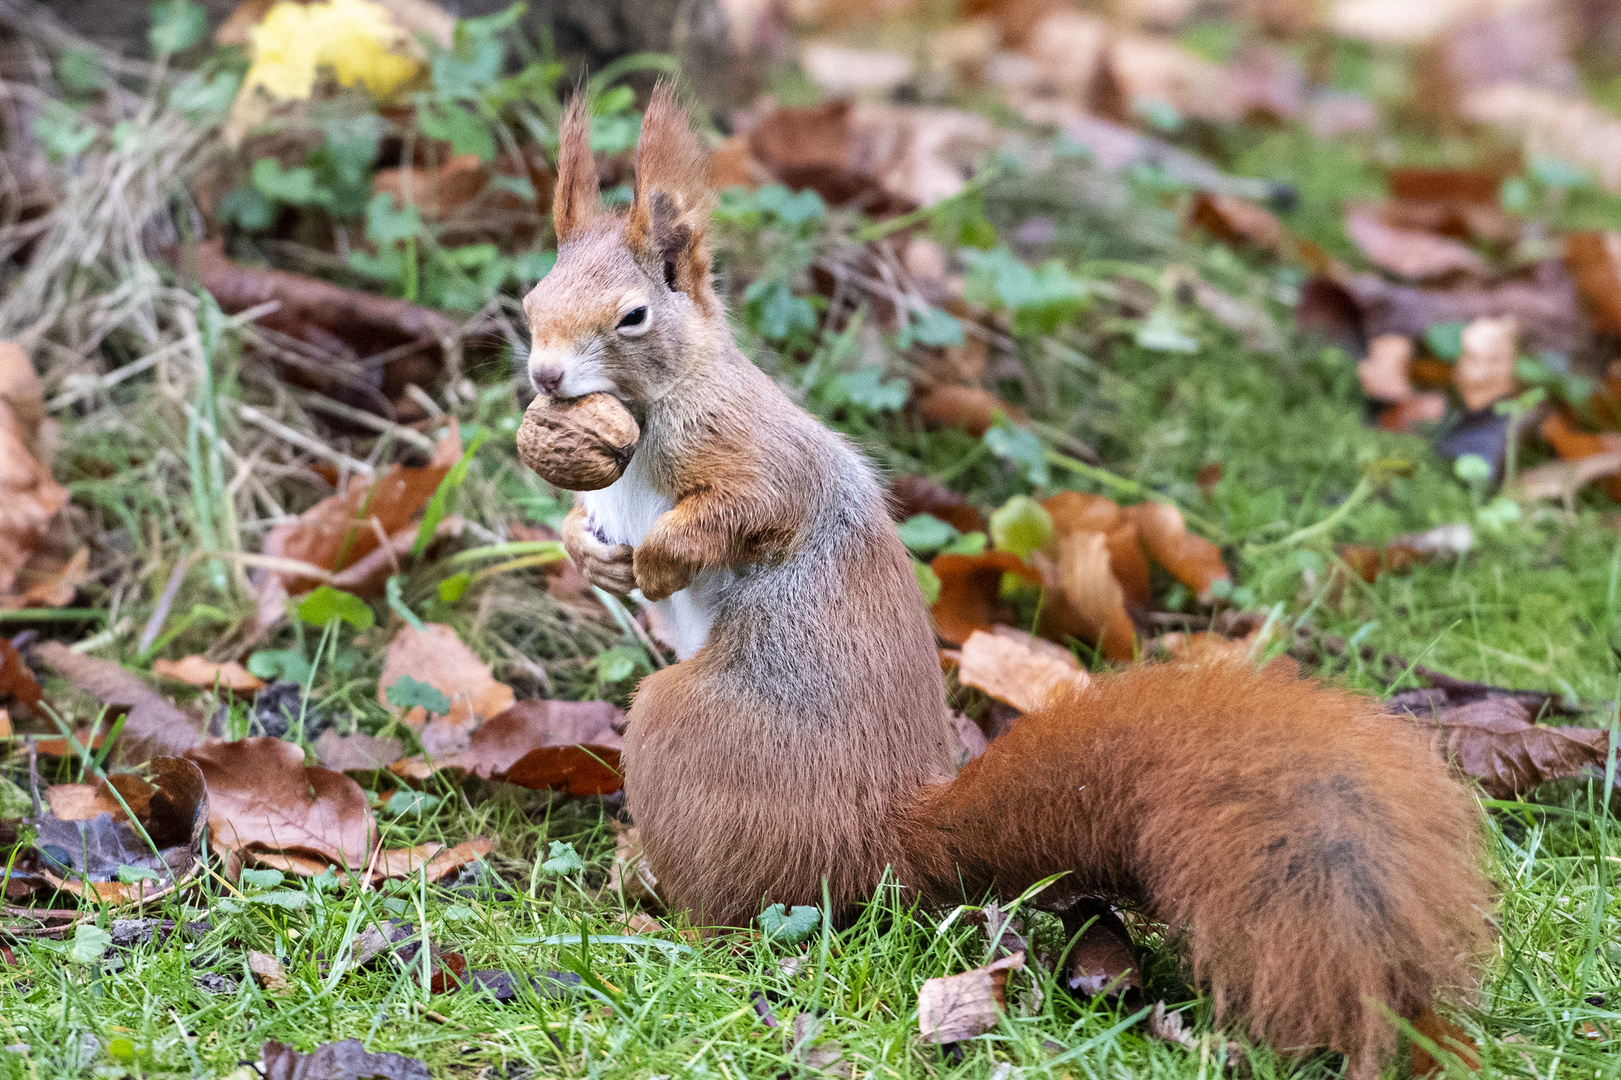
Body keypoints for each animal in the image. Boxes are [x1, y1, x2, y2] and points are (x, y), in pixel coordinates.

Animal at [525, 88, 1484, 1070]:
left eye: (633, 317)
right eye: (531, 300)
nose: (544, 376)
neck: (648, 417)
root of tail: (884, 843)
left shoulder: (754, 453)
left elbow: (749, 508)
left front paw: (658, 559)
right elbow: (583, 527)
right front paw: (594, 554)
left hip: (684, 731)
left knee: (731, 912)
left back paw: (662, 914)